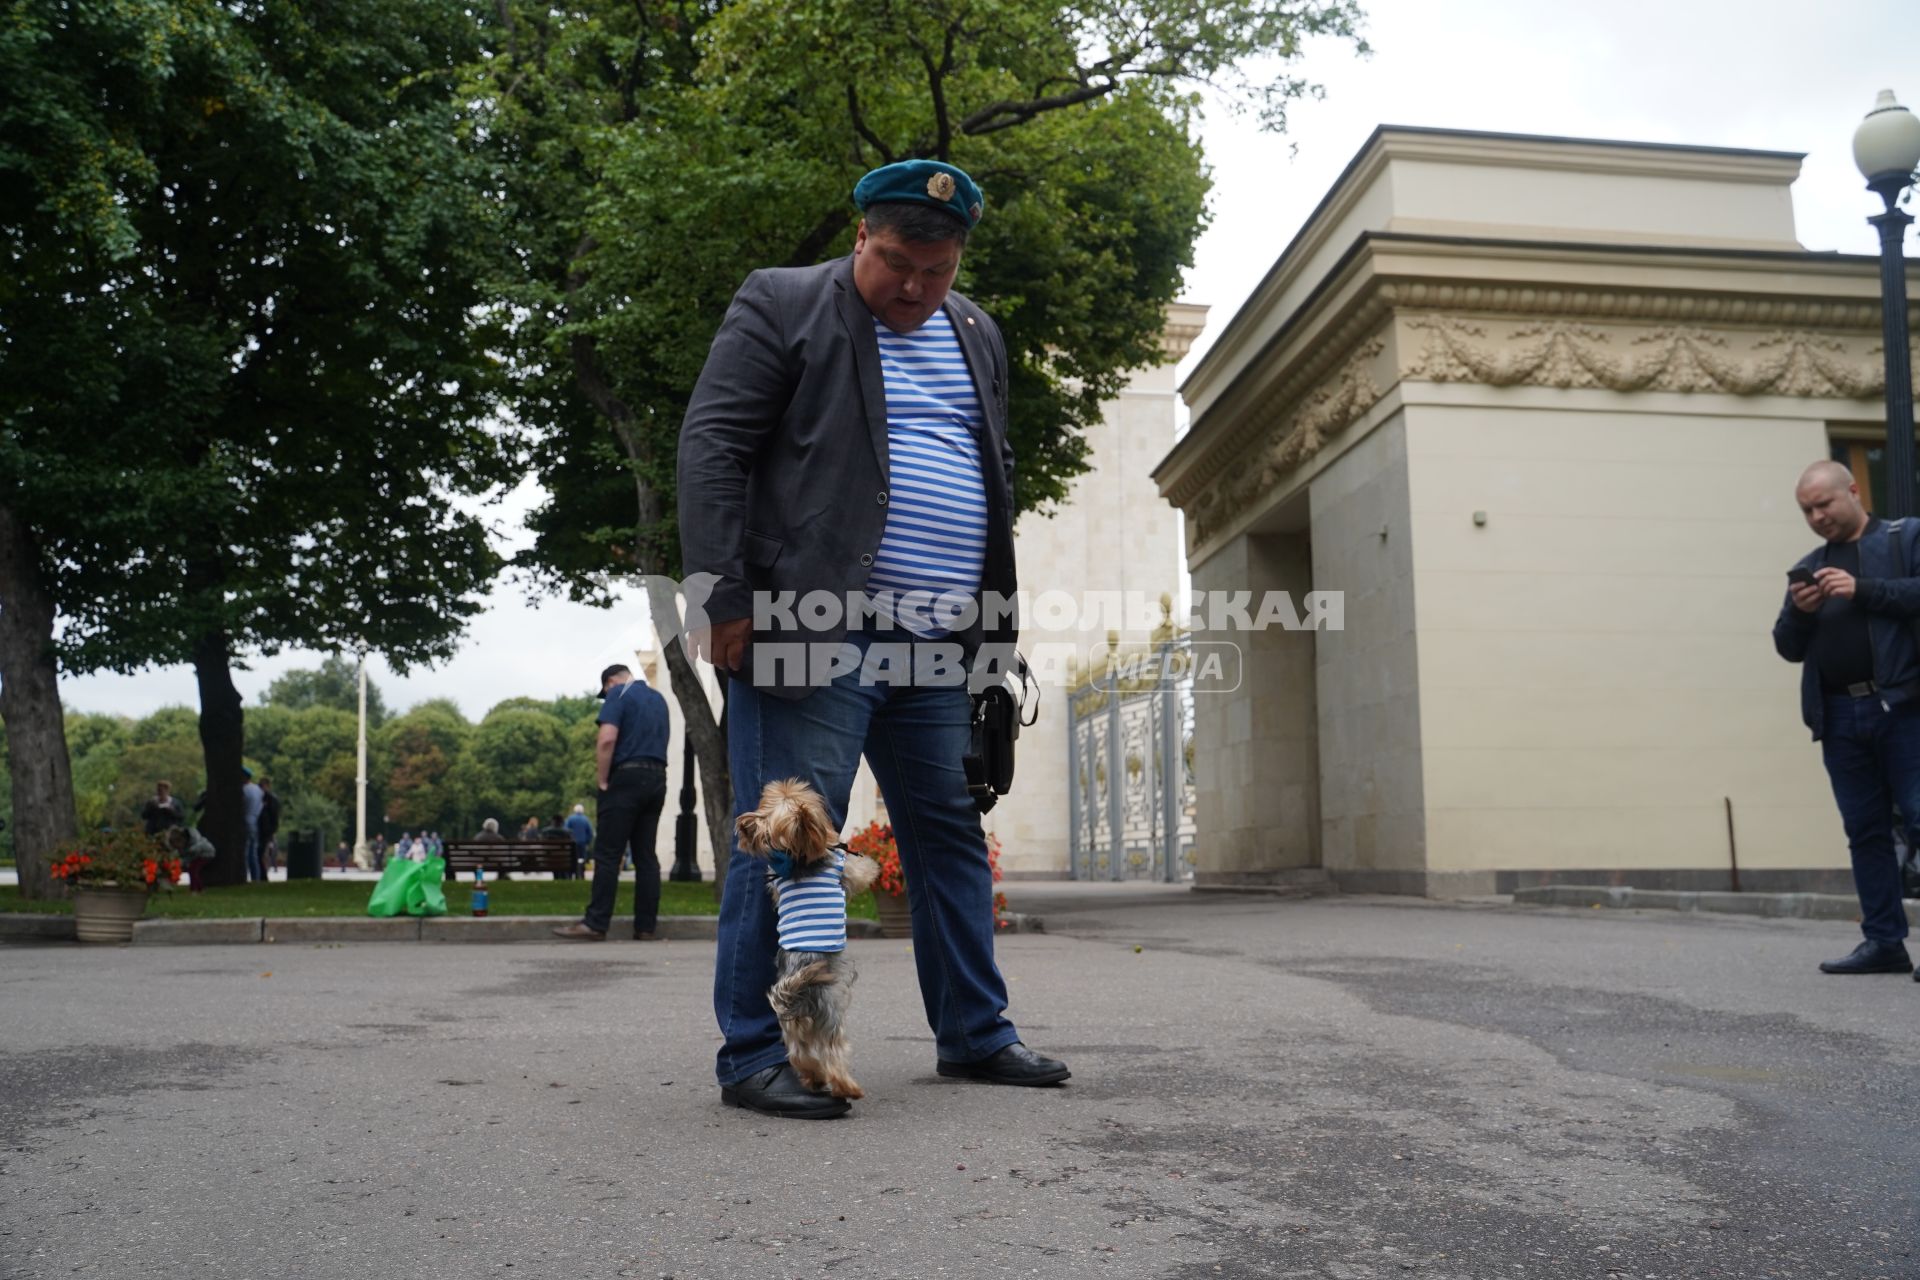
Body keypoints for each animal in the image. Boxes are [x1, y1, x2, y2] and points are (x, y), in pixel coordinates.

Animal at [733, 782, 883, 1105]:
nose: (781, 783)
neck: (799, 861)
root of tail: (793, 992)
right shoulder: (845, 869)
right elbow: (861, 872)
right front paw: (871, 864)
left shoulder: (776, 882)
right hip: (830, 1015)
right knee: (833, 1053)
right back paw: (848, 1088)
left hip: (793, 1029)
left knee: (801, 1055)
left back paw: (813, 1080)